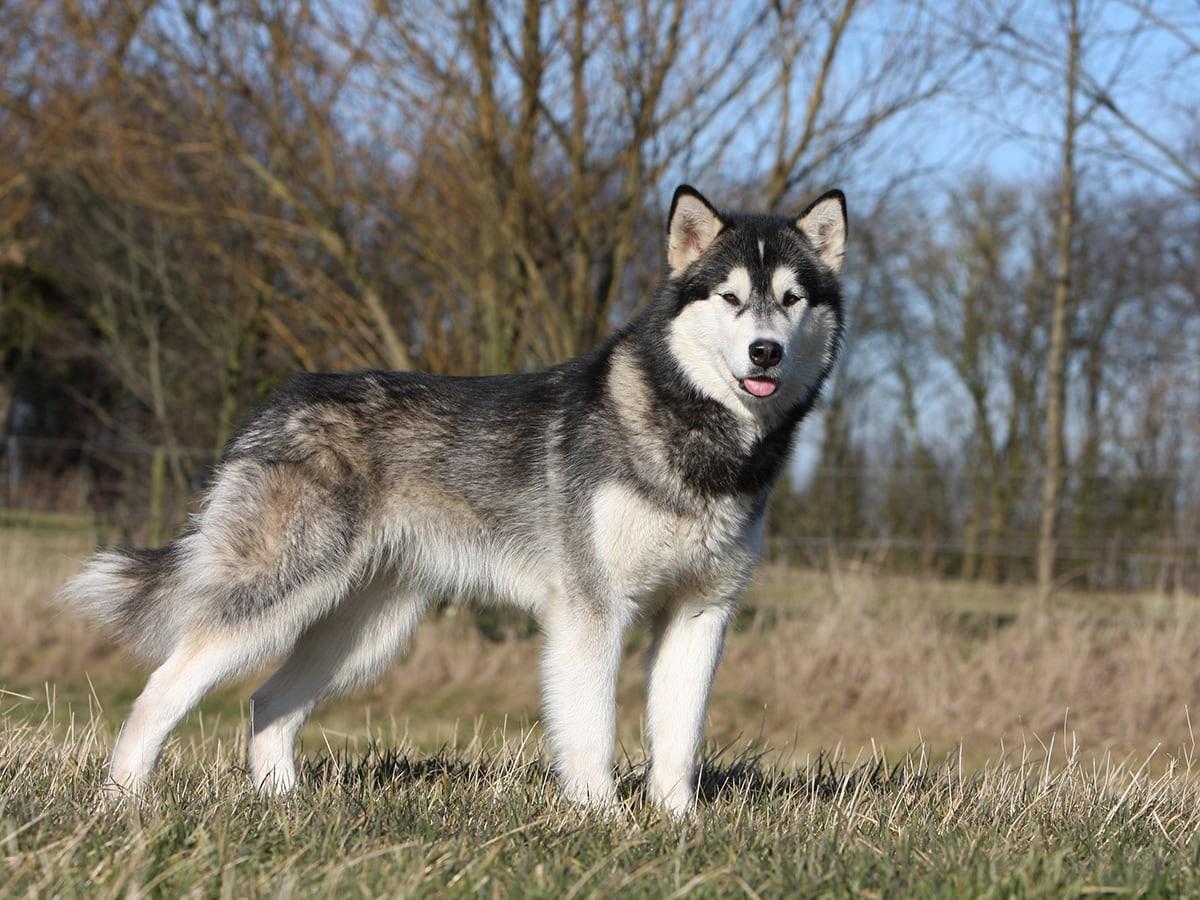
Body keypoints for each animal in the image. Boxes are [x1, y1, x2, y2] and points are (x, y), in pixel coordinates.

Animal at [60, 184, 849, 816]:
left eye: (791, 300)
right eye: (730, 298)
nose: (766, 352)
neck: (696, 436)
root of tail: (282, 400)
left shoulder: (700, 613)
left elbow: (680, 741)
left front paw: (679, 825)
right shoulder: (592, 610)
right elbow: (592, 731)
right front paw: (604, 820)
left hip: (368, 629)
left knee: (269, 703)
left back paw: (286, 808)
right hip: (276, 592)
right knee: (161, 691)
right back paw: (123, 803)